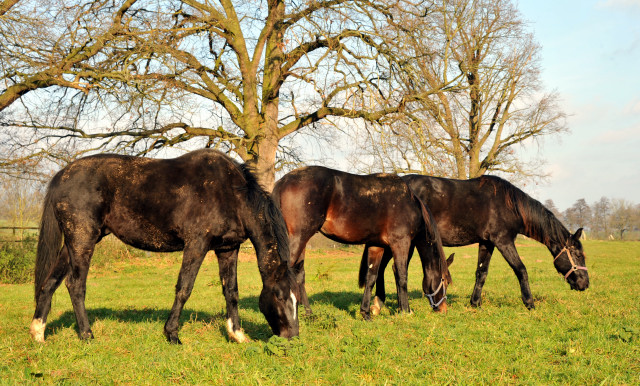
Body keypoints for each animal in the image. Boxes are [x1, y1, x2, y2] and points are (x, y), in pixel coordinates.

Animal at [28, 150, 298, 344]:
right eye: (280, 295)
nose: (293, 337)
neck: (231, 192)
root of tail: (62, 175)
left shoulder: (227, 249)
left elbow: (231, 291)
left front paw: (238, 335)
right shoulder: (196, 245)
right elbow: (184, 289)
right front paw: (172, 335)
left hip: (73, 243)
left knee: (49, 284)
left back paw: (38, 333)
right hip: (83, 240)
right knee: (75, 285)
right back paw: (86, 335)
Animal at [272, 166, 452, 320]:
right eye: (444, 281)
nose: (443, 309)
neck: (409, 203)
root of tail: (283, 181)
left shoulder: (376, 245)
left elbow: (371, 277)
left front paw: (365, 313)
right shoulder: (400, 243)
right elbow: (401, 276)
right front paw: (405, 311)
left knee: (298, 275)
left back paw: (308, 313)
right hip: (299, 237)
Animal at [364, 175, 592, 310]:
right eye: (578, 255)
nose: (585, 284)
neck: (508, 204)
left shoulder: (487, 243)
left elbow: (481, 272)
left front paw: (475, 303)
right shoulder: (503, 240)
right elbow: (521, 269)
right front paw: (529, 303)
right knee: (389, 268)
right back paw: (380, 304)